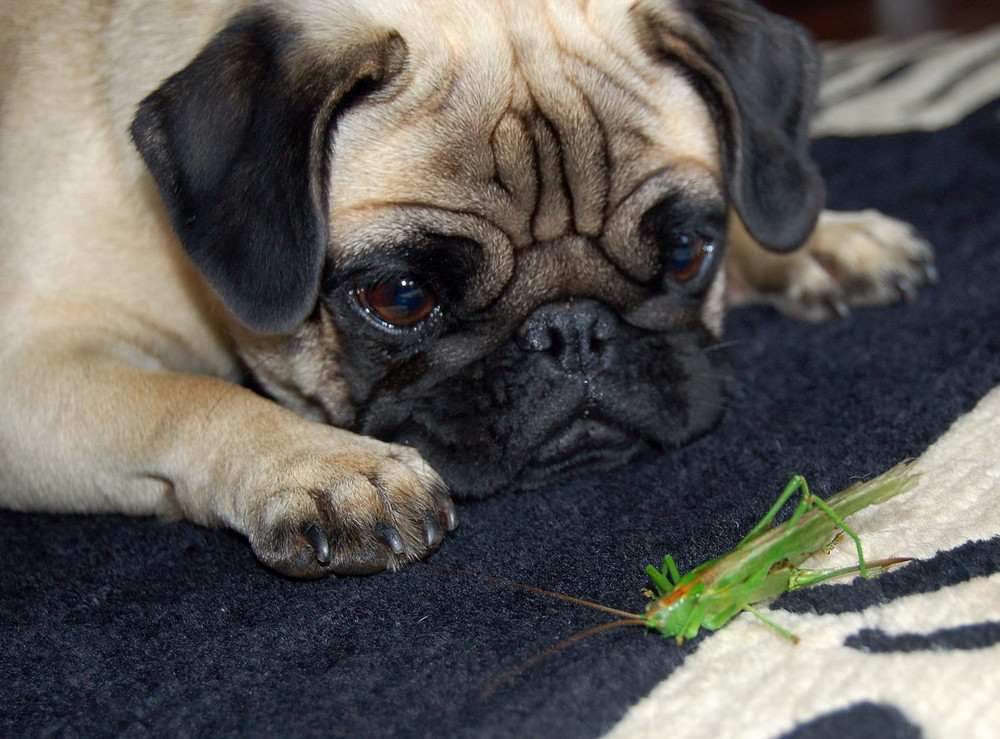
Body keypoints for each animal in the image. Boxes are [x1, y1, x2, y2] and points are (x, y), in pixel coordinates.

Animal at [1, 0, 936, 580]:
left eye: (683, 254)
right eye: (401, 297)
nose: (573, 331)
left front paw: (812, 240)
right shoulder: (26, 377)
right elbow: (183, 395)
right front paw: (323, 464)